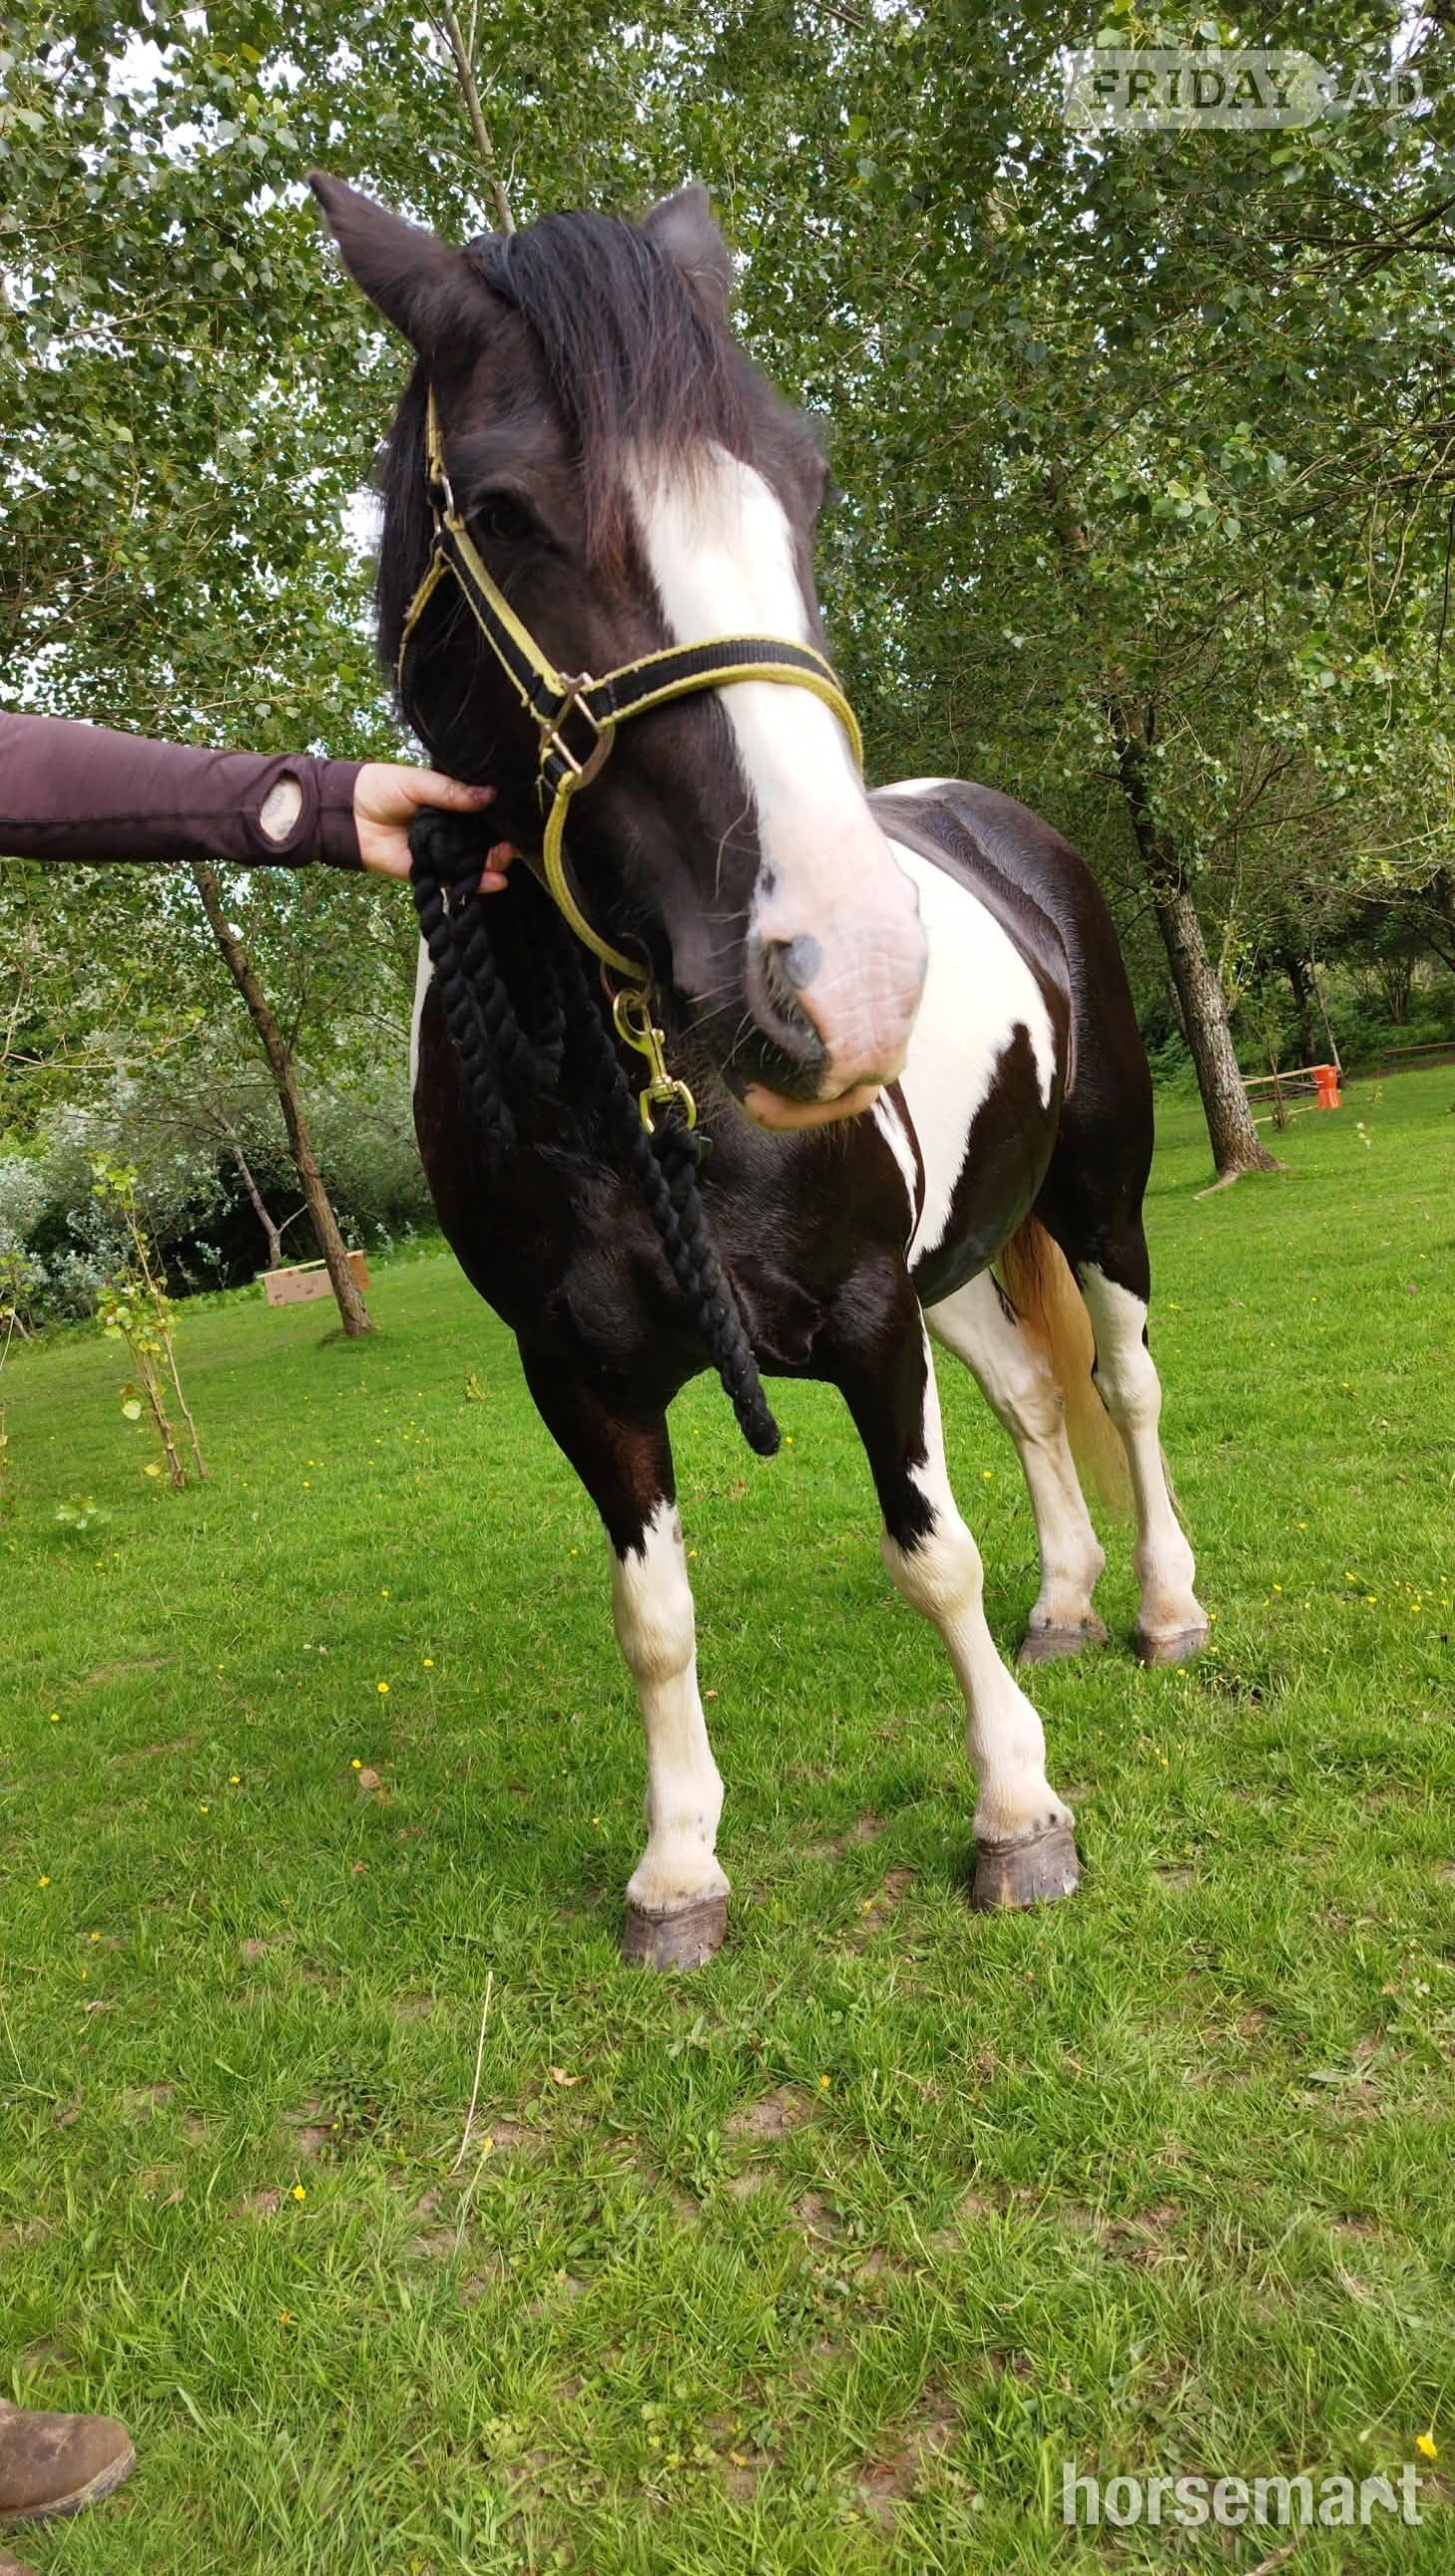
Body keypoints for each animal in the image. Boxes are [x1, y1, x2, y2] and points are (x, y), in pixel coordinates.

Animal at [311, 174, 1209, 1969]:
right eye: (502, 509)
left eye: (801, 481)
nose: (843, 976)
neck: (638, 1103)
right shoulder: (579, 1379)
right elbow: (652, 1616)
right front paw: (678, 1869)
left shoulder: (864, 1319)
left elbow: (928, 1556)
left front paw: (1016, 1811)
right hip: (961, 1261)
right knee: (1031, 1401)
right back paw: (1070, 1604)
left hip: (1094, 1191)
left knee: (1124, 1382)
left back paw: (1159, 1607)